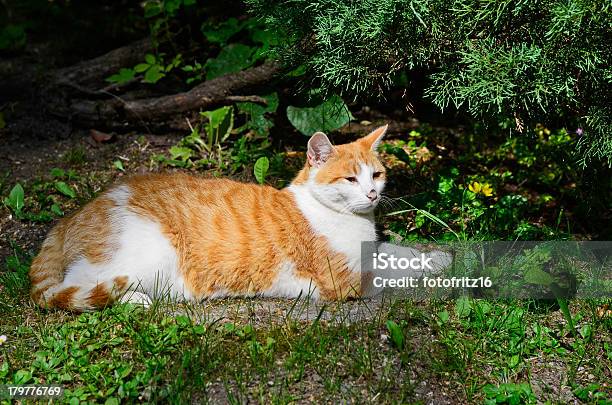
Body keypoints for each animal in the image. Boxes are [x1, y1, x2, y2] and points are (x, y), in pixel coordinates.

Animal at [28, 124, 388, 310]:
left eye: (377, 175)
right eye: (350, 179)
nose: (372, 193)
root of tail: (75, 213)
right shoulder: (343, 280)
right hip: (148, 252)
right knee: (74, 285)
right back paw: (132, 297)